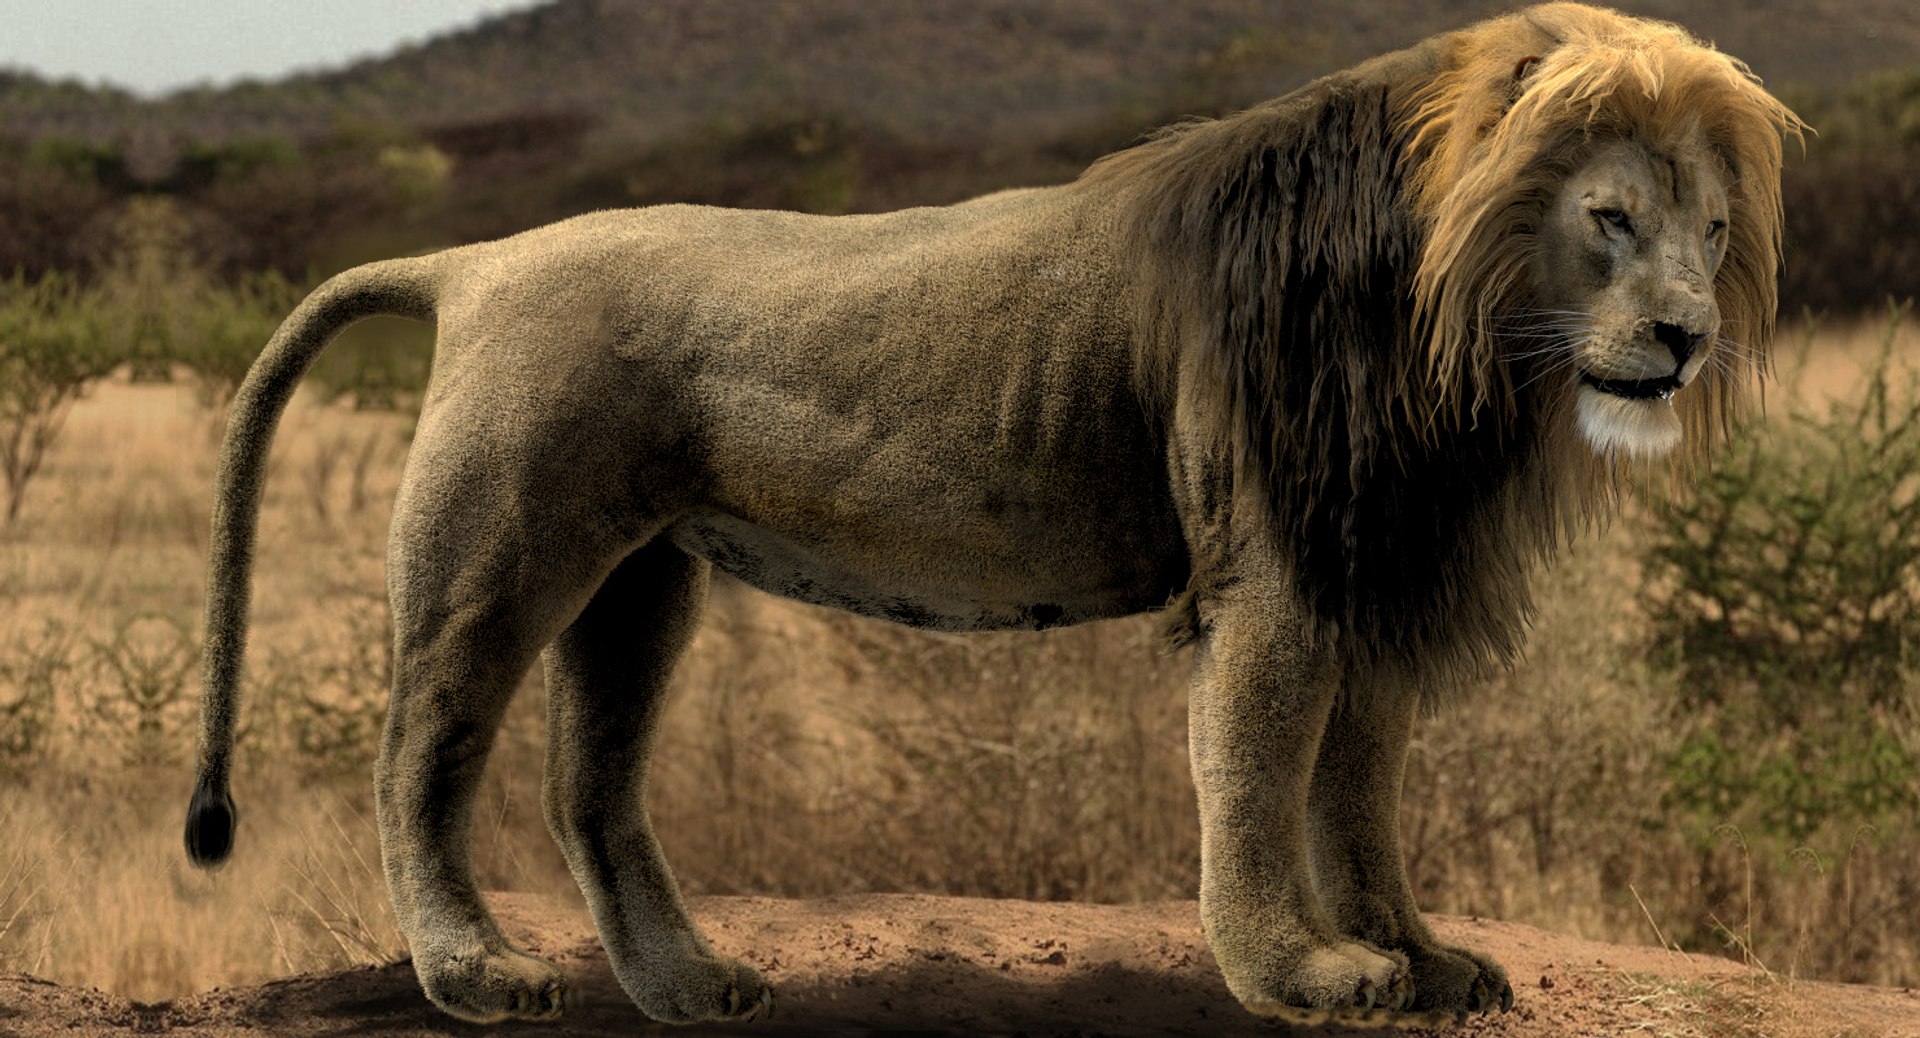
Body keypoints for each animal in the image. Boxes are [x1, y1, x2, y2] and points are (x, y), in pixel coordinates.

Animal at [183, 2, 1800, 1026]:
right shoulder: (1276, 570)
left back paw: (689, 988)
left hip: (641, 577)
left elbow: (1362, 792)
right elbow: (1260, 773)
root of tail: (473, 258)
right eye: (1611, 218)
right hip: (502, 548)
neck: (1453, 339)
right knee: (417, 759)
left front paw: (1418, 959)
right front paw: (1302, 975)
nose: (1685, 339)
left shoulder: (1376, 561)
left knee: (589, 785)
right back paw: (476, 975)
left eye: (1714, 230)